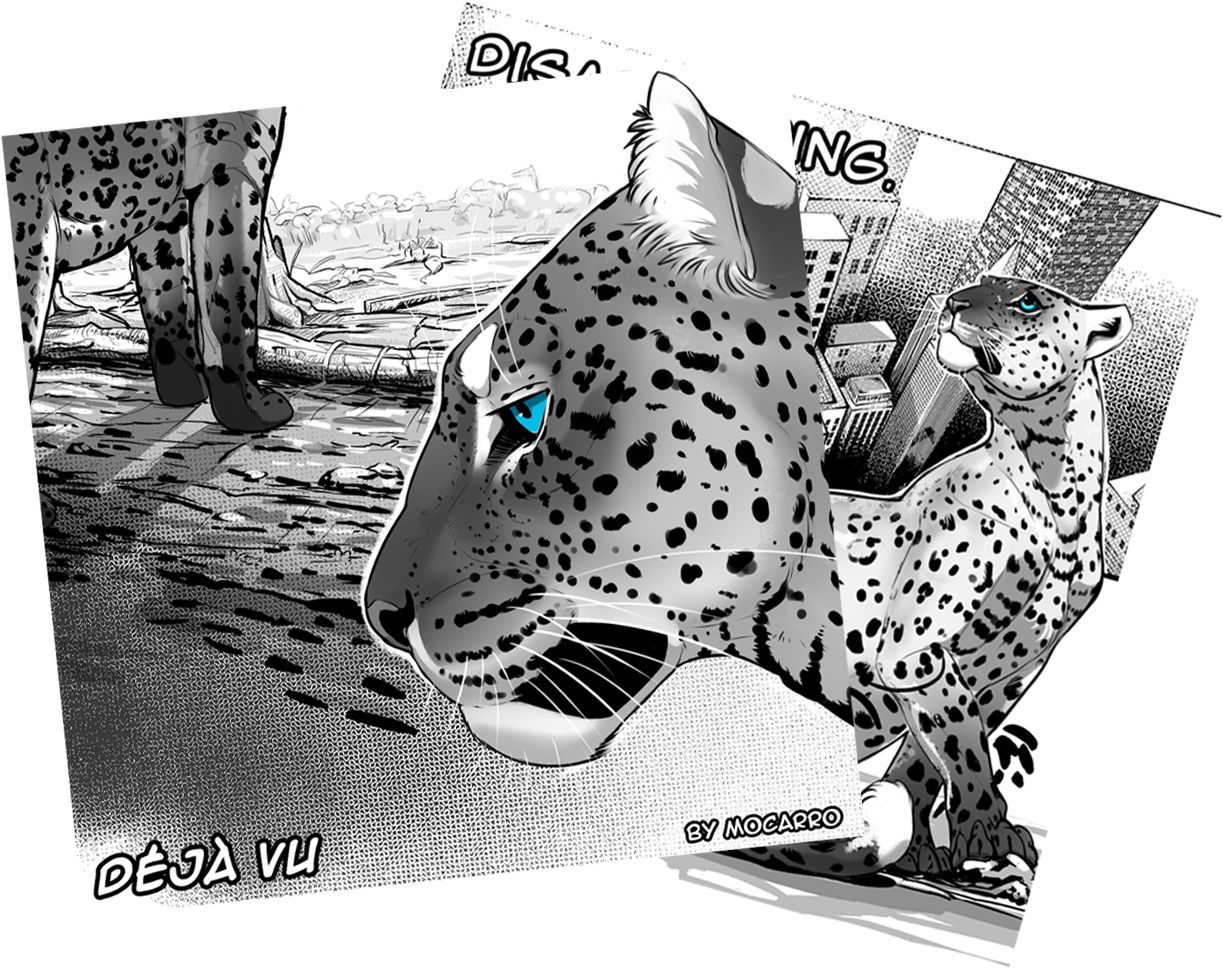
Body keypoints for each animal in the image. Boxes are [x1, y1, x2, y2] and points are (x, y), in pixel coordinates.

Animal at [7, 112, 293, 528]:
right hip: (30, 243)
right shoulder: (231, 164)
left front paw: (185, 391)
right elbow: (230, 298)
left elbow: (169, 295)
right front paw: (254, 410)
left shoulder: (162, 206)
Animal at [361, 72, 1132, 882]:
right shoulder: (916, 654)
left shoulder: (1006, 669)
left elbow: (944, 748)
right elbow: (940, 747)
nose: (380, 617)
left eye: (531, 413)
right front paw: (952, 832)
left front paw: (958, 835)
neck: (1053, 495)